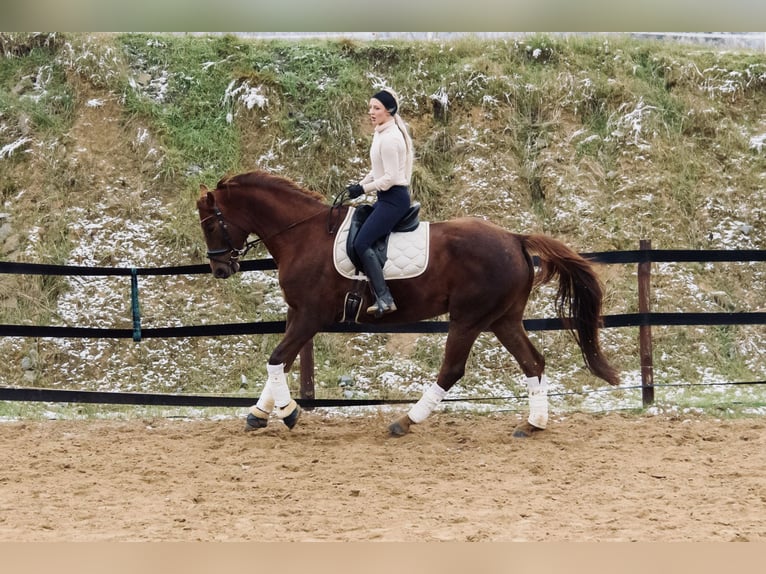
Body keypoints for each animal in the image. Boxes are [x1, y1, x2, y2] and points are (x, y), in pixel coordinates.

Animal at [197, 170, 620, 438]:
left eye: (210, 222)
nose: (220, 268)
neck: (304, 235)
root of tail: (514, 238)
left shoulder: (311, 316)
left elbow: (275, 359)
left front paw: (288, 414)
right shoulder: (298, 314)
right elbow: (280, 363)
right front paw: (258, 414)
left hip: (468, 318)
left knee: (452, 369)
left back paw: (406, 420)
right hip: (503, 318)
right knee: (532, 362)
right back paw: (533, 425)